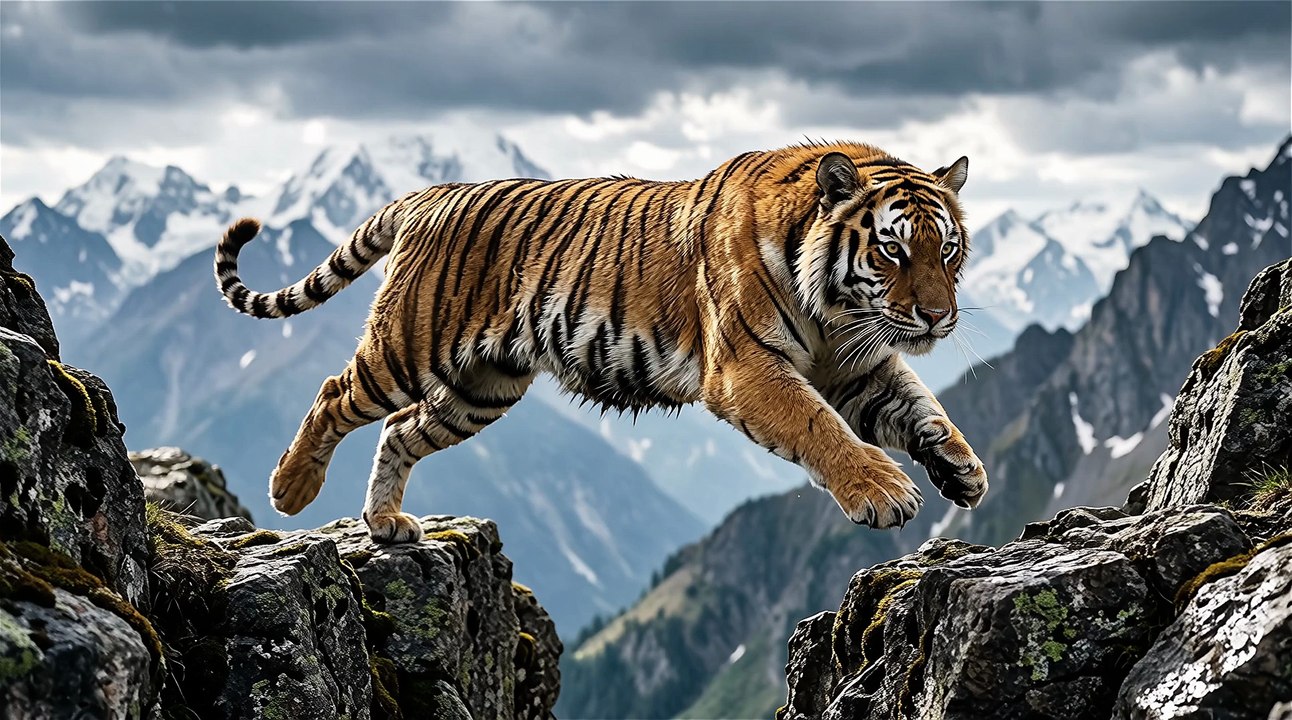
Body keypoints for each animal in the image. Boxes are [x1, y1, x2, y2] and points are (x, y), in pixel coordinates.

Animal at [214, 142, 988, 543]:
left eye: (948, 251)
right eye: (893, 249)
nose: (937, 317)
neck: (837, 310)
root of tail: (430, 192)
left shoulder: (859, 363)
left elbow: (923, 409)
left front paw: (963, 470)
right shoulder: (747, 368)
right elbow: (819, 427)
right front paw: (883, 490)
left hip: (480, 388)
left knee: (401, 430)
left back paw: (384, 523)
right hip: (408, 349)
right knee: (335, 394)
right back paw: (290, 490)